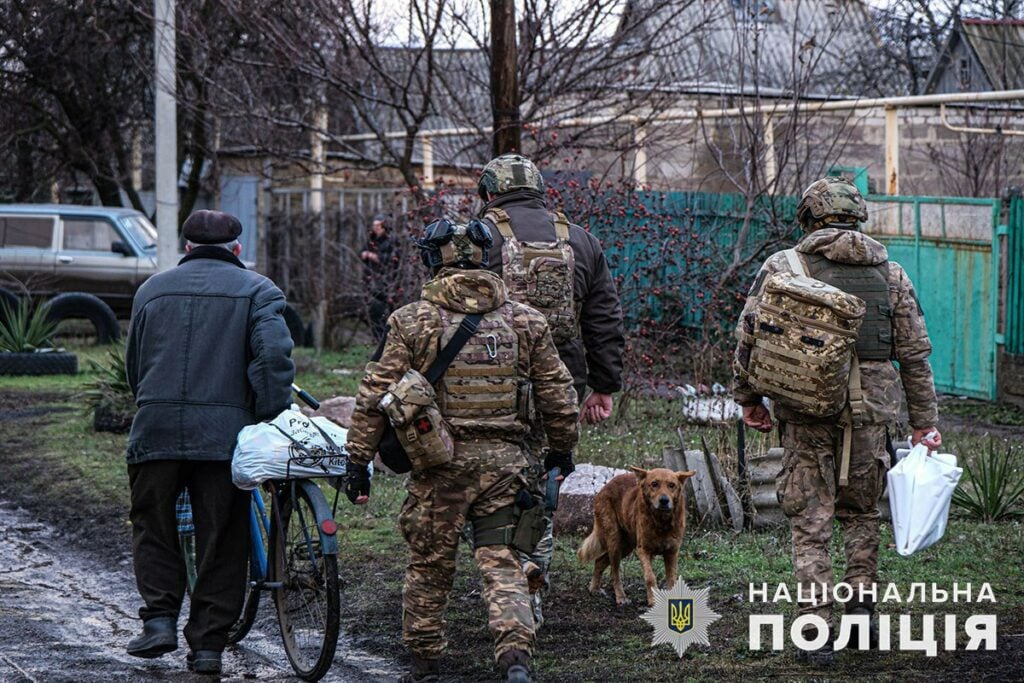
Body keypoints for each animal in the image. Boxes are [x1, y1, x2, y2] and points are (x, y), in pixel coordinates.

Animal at [577, 466, 696, 606]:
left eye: (671, 485)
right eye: (654, 484)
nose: (664, 500)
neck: (661, 522)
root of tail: (605, 487)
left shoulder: (672, 552)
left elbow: (671, 579)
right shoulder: (643, 550)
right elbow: (650, 577)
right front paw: (652, 600)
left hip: (625, 546)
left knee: (600, 561)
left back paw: (594, 588)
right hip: (615, 542)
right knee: (614, 572)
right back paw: (621, 597)